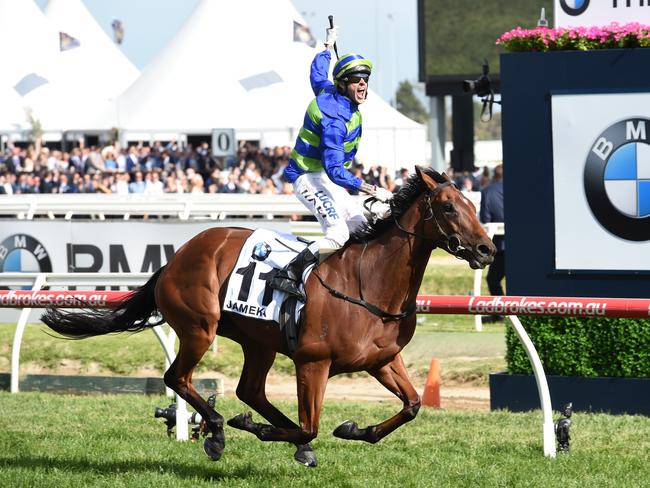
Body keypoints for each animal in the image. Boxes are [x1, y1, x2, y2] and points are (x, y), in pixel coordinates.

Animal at [40, 167, 492, 466]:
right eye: (449, 208)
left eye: (472, 203)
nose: (487, 249)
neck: (369, 282)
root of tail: (176, 257)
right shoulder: (313, 362)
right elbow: (311, 424)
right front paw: (258, 429)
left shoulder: (381, 359)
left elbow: (412, 405)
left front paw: (353, 430)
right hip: (199, 328)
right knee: (178, 378)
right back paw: (218, 430)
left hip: (258, 342)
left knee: (250, 391)